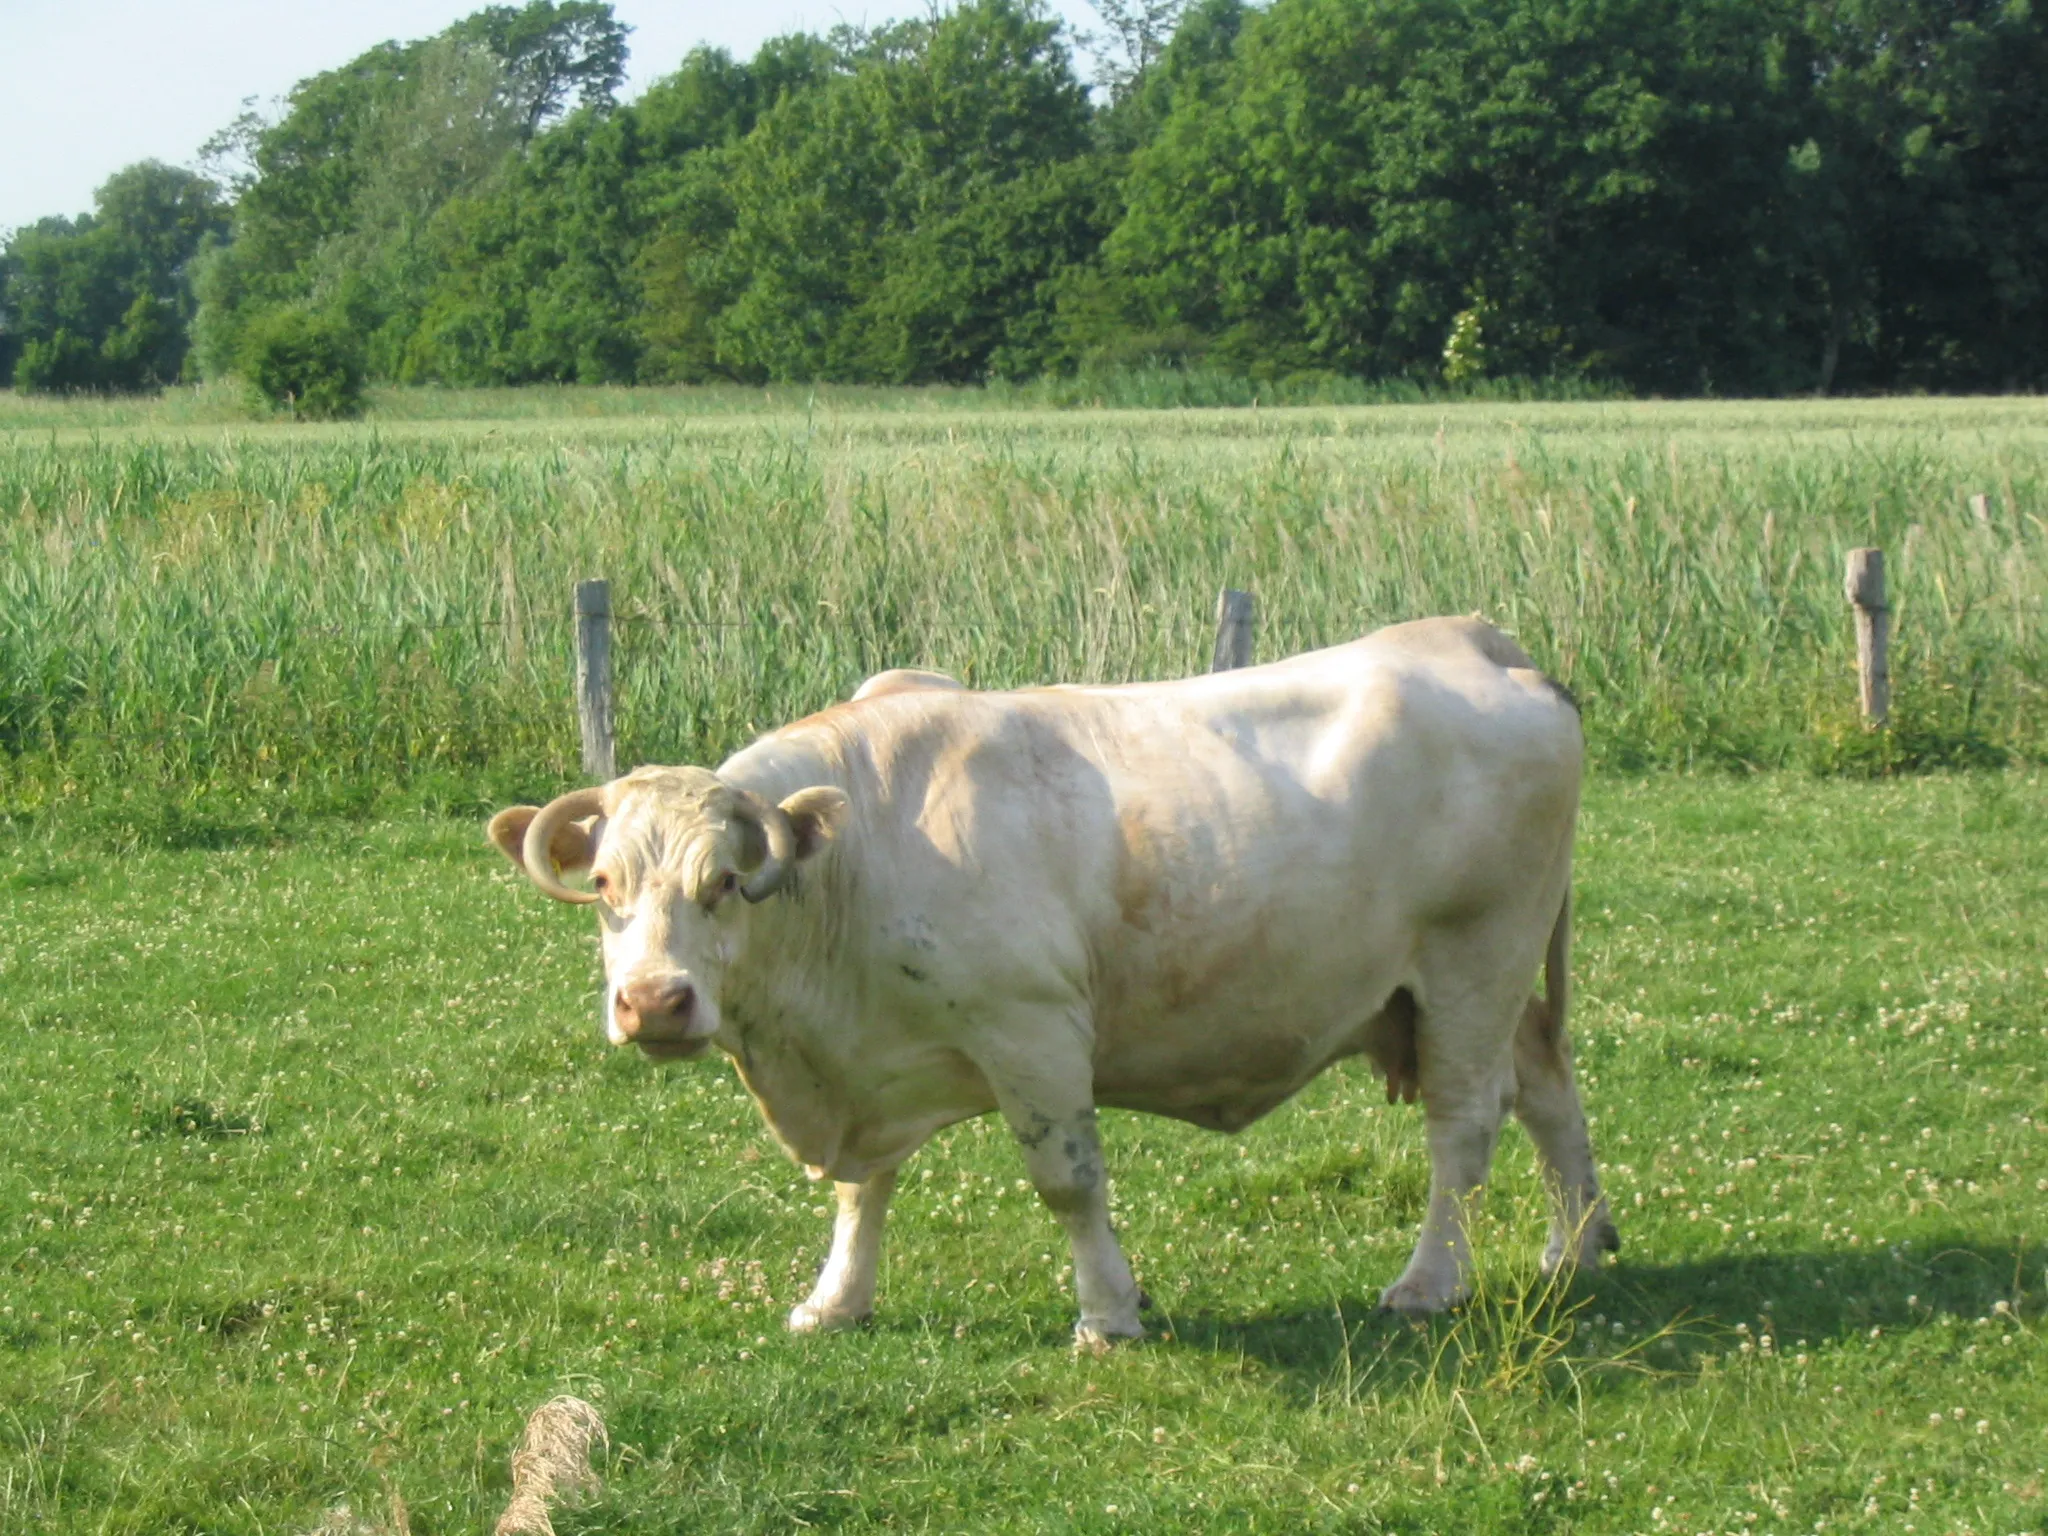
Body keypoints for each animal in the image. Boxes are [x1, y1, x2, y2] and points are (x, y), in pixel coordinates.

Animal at [491, 618, 1613, 1351]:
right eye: (604, 886)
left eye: (724, 884)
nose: (654, 1003)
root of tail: (1477, 640)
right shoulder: (869, 1067)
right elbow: (863, 1191)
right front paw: (837, 1300)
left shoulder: (1030, 1032)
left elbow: (1068, 1182)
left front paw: (1108, 1313)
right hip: (1473, 987)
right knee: (1549, 1089)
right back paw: (1576, 1247)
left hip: (1473, 962)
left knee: (1463, 1127)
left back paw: (1429, 1281)